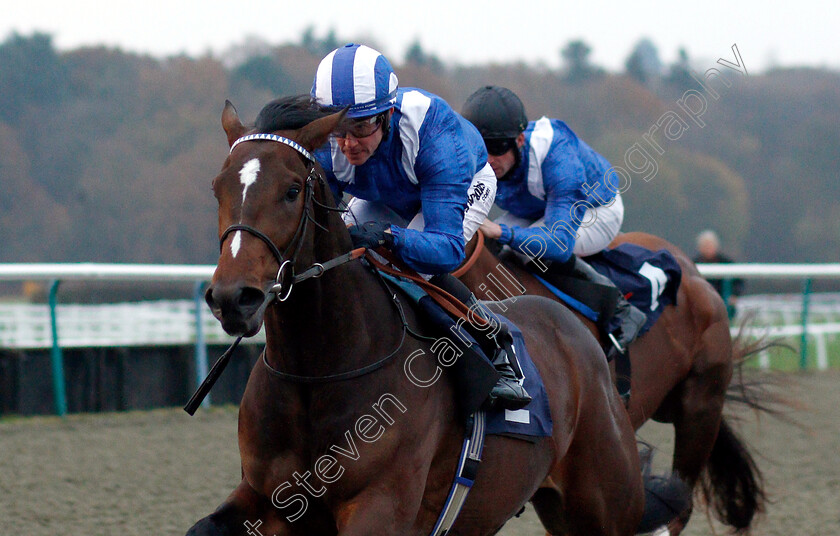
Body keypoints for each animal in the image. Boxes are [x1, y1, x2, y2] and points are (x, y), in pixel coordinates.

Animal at [187, 96, 652, 536]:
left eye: (291, 190)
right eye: (216, 188)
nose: (234, 298)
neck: (318, 372)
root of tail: (577, 330)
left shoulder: (382, 507)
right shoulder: (269, 497)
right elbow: (203, 526)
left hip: (604, 503)